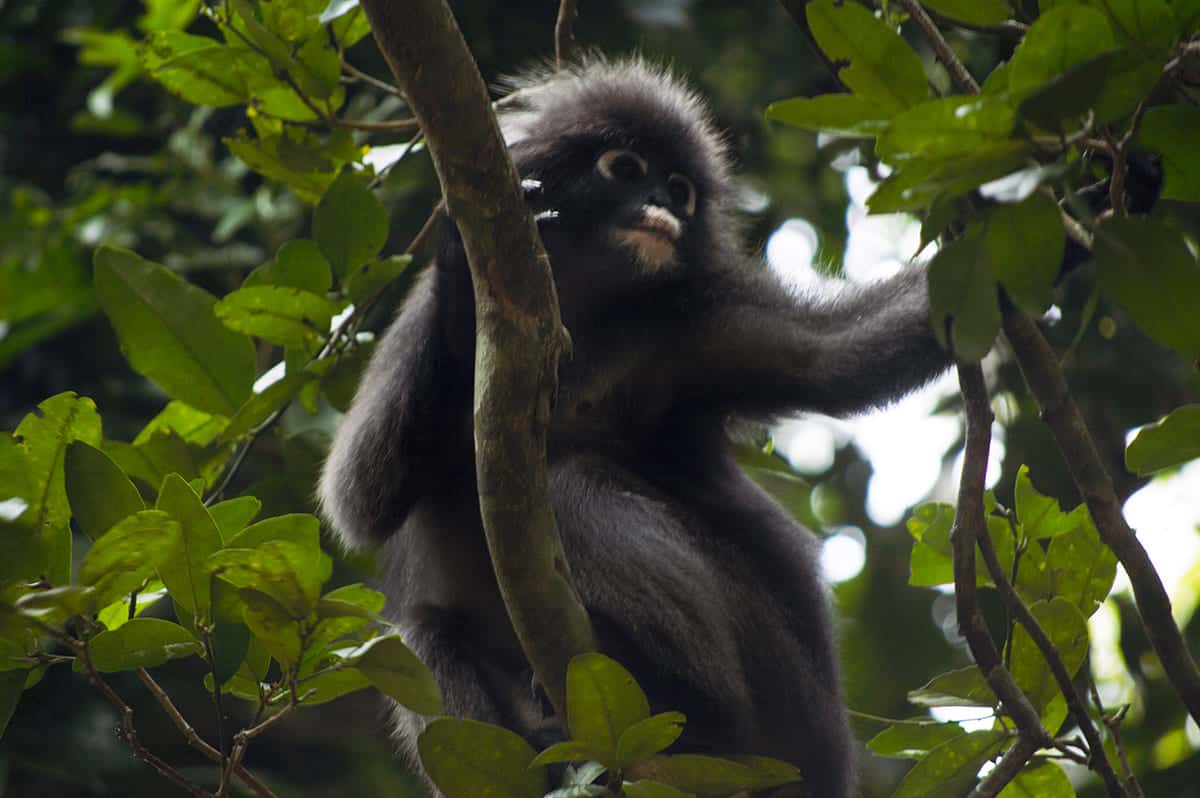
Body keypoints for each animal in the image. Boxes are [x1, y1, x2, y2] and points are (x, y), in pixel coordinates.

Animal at [319, 58, 951, 798]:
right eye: (625, 169)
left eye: (680, 190)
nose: (663, 209)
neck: (577, 317)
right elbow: (359, 494)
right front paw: (461, 265)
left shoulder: (698, 318)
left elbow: (841, 353)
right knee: (417, 634)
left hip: (780, 692)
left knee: (573, 483)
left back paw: (688, 702)